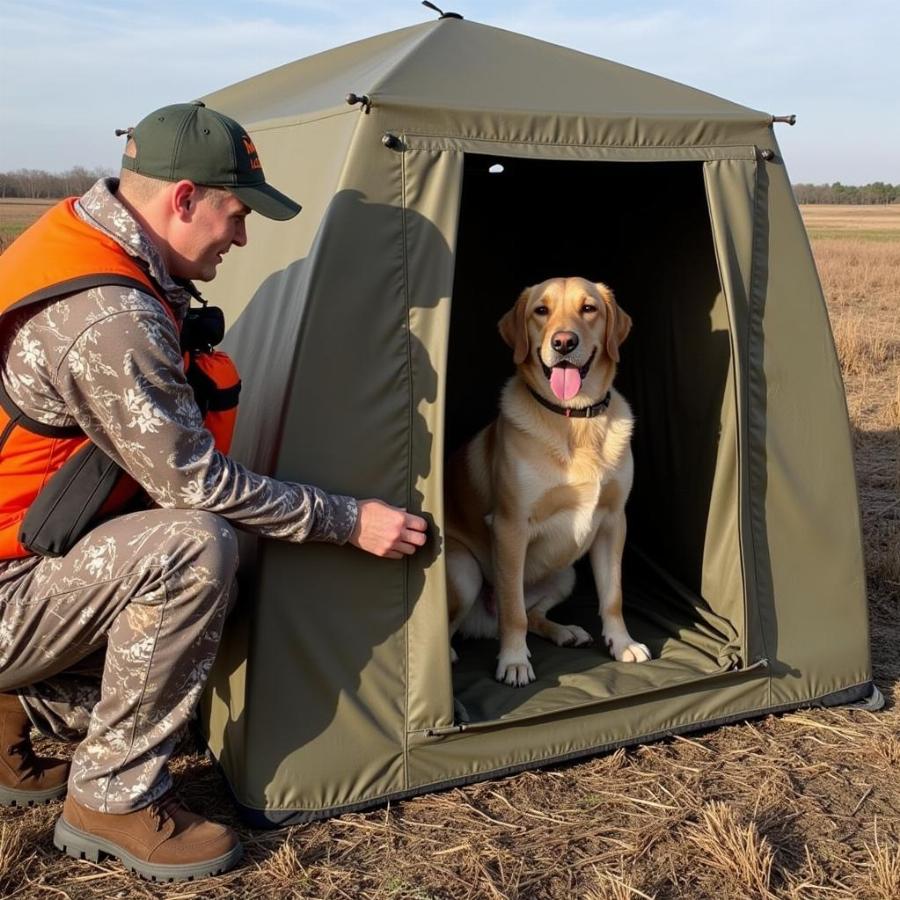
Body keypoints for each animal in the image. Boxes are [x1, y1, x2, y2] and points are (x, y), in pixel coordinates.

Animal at [446, 278, 652, 684]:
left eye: (588, 308)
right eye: (541, 310)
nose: (563, 343)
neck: (575, 418)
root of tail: (483, 624)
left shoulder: (613, 522)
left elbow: (613, 596)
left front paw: (622, 643)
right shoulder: (510, 527)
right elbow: (513, 612)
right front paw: (513, 661)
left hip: (565, 573)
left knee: (535, 615)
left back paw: (565, 631)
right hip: (463, 571)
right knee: (478, 619)